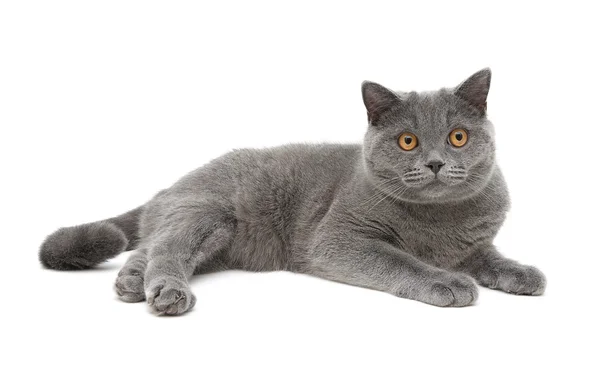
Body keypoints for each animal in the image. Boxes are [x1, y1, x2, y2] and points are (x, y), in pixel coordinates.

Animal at [38, 69, 544, 316]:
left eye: (458, 137)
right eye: (407, 141)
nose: (436, 162)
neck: (438, 222)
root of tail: (171, 185)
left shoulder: (473, 245)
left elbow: (491, 259)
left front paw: (522, 273)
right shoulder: (338, 238)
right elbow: (399, 261)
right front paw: (447, 283)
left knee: (150, 244)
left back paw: (130, 281)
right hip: (208, 214)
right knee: (167, 249)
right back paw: (164, 292)